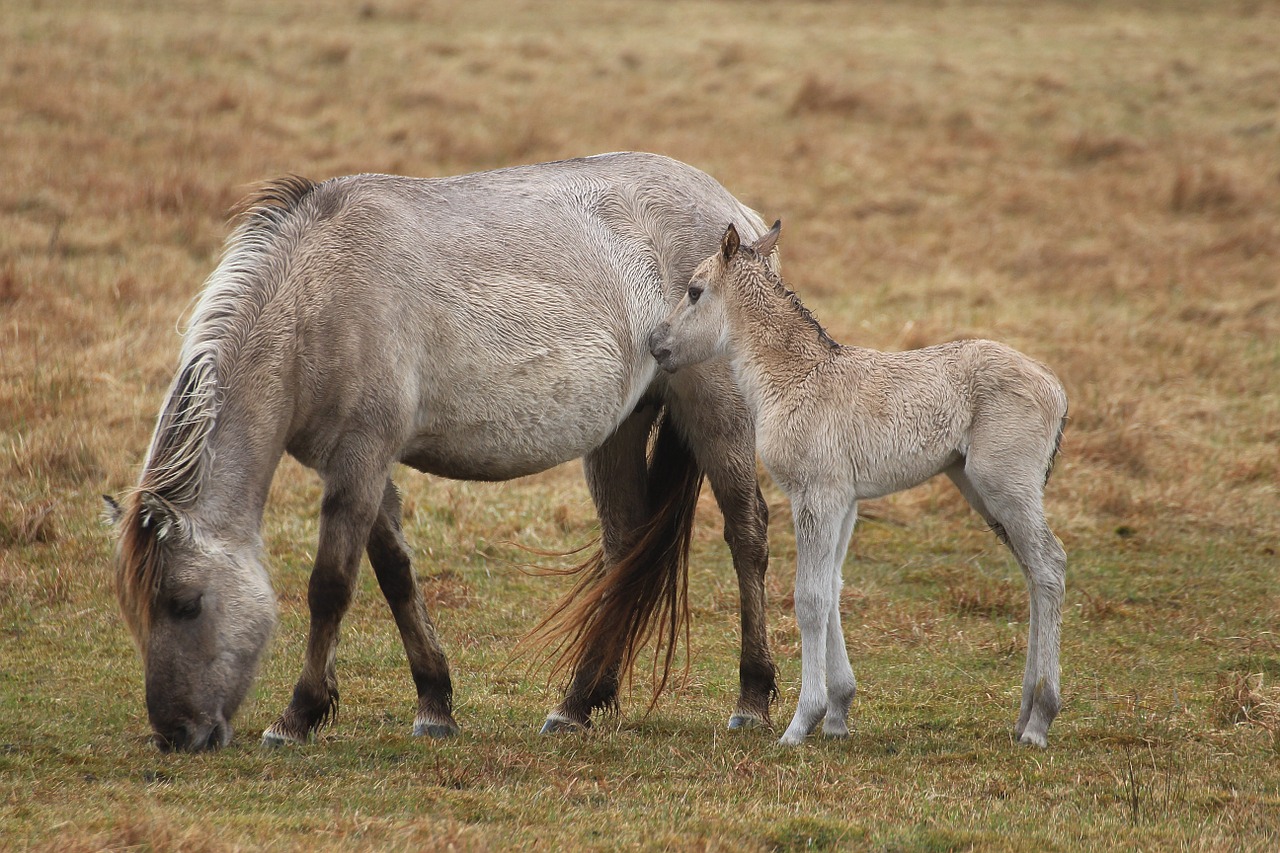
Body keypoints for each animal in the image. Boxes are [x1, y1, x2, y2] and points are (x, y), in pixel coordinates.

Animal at [107, 154, 778, 753]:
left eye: (185, 605)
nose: (174, 735)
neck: (314, 302)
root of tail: (739, 218)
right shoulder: (361, 466)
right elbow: (395, 574)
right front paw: (434, 704)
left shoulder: (361, 458)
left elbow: (331, 585)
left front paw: (297, 716)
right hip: (619, 433)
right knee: (624, 553)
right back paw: (579, 704)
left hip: (718, 416)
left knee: (747, 534)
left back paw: (752, 699)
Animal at [650, 220, 1070, 742]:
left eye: (694, 291)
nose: (656, 345)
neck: (795, 377)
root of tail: (1056, 387)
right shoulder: (844, 500)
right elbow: (832, 587)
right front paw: (837, 715)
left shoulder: (816, 493)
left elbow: (809, 598)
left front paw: (800, 723)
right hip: (983, 493)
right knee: (1033, 574)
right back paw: (1023, 715)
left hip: (1007, 487)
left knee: (1050, 565)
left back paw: (1040, 721)